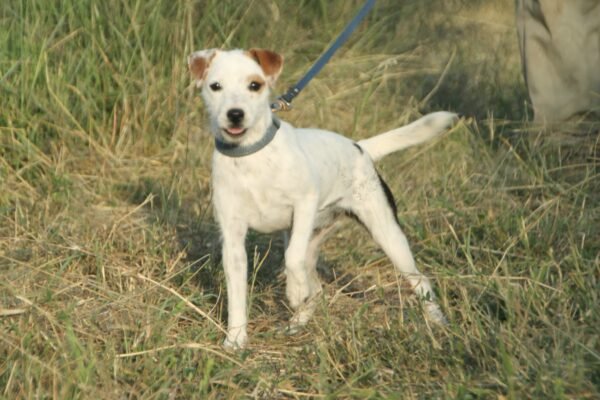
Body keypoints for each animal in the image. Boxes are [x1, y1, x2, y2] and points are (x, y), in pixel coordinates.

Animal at [190, 47, 458, 348]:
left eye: (254, 85)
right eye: (215, 86)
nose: (235, 114)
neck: (251, 155)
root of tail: (360, 147)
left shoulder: (304, 203)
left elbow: (291, 257)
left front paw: (294, 292)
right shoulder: (233, 239)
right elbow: (237, 296)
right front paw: (235, 341)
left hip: (387, 235)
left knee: (420, 279)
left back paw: (439, 323)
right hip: (316, 240)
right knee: (317, 291)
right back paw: (296, 322)